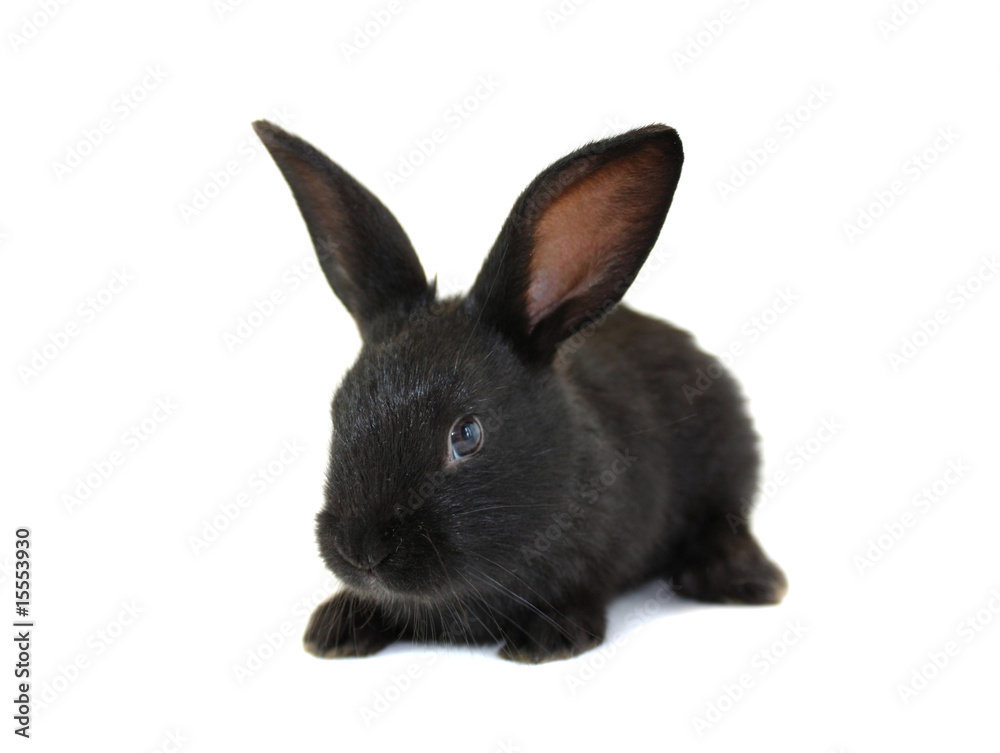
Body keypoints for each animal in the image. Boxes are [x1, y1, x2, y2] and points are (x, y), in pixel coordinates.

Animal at [252, 119, 787, 663]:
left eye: (466, 435)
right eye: (339, 411)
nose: (362, 551)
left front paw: (548, 638)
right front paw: (335, 628)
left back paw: (745, 580)